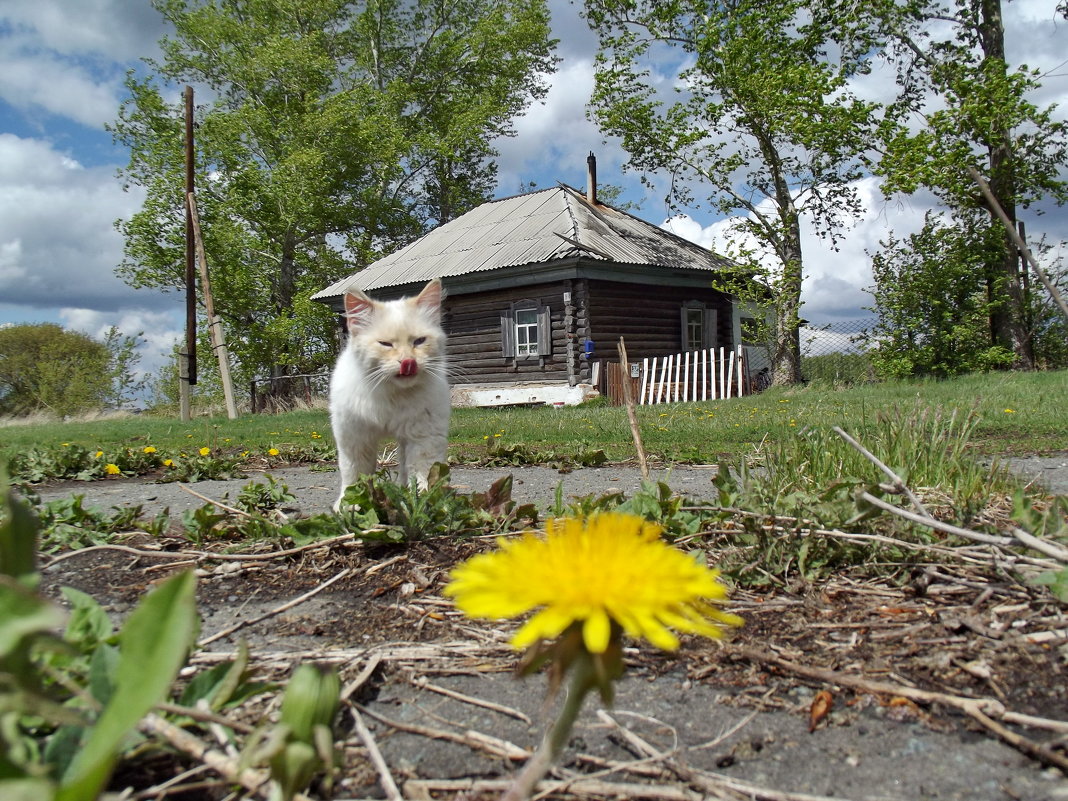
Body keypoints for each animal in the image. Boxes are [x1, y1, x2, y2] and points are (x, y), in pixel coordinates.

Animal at [333, 279, 450, 510]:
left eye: (419, 341)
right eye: (385, 344)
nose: (408, 362)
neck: (393, 393)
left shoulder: (424, 438)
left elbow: (422, 475)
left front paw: (422, 503)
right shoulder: (355, 439)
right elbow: (354, 475)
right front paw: (350, 505)